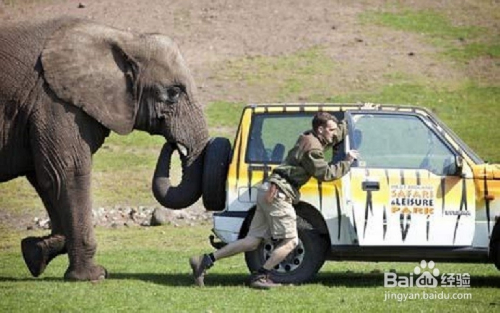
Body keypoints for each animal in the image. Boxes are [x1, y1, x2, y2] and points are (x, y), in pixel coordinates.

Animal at [0, 17, 210, 280]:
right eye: (173, 93)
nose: (173, 144)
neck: (124, 37)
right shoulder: (54, 102)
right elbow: (67, 172)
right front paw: (94, 276)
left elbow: (46, 178)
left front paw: (34, 253)